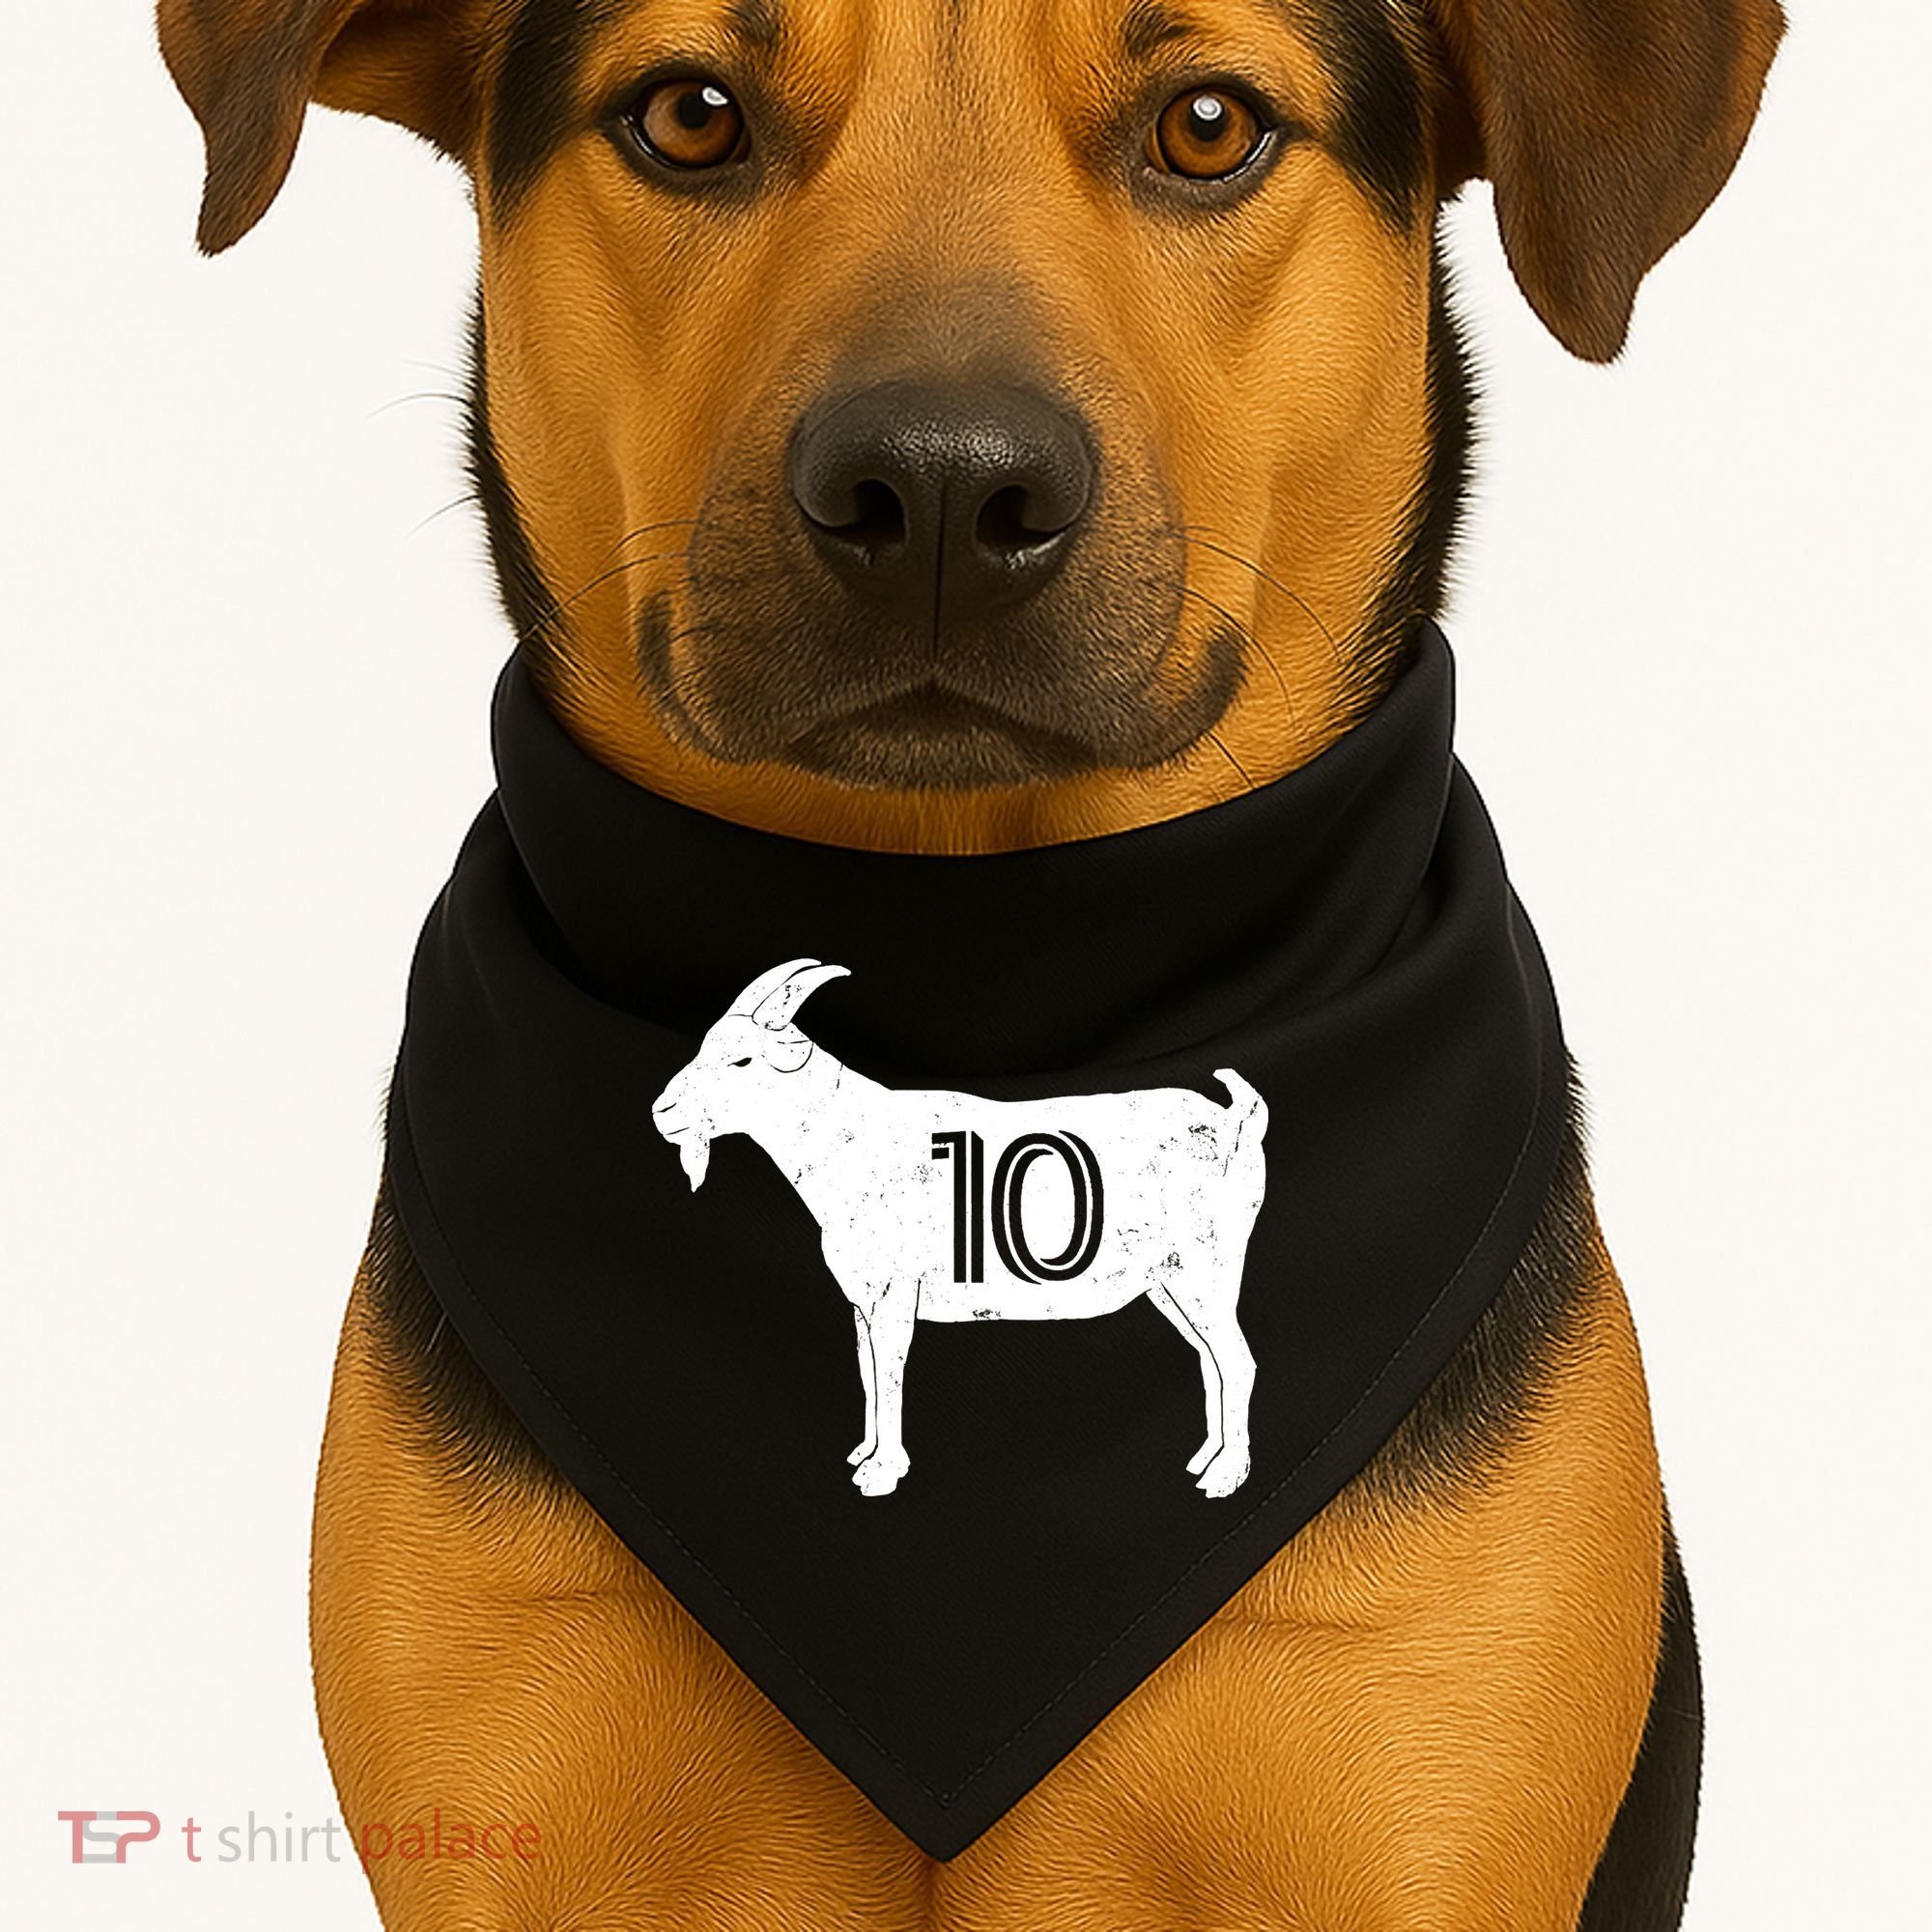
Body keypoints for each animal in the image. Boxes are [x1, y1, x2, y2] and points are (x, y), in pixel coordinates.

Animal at [652, 959, 1269, 1497]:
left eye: (742, 1062)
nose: (663, 1111)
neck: (854, 1142)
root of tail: (1236, 1123)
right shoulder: (861, 1301)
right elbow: (868, 1373)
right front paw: (864, 1454)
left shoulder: (895, 1293)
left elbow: (890, 1372)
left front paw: (881, 1474)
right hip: (1167, 1283)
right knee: (1209, 1361)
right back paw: (1205, 1459)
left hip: (1205, 1271)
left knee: (1237, 1360)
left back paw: (1224, 1476)